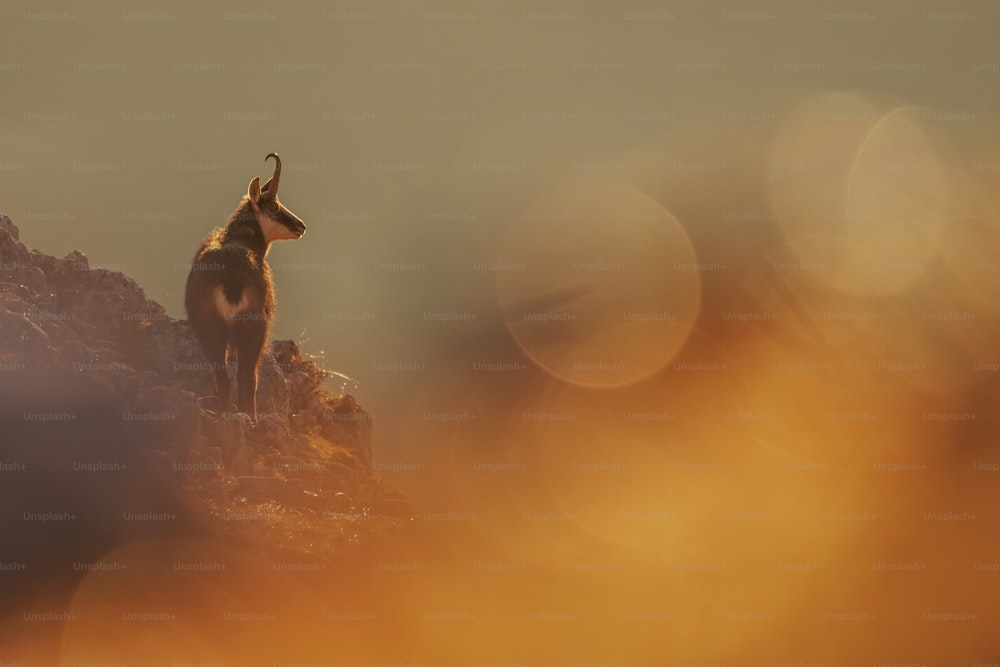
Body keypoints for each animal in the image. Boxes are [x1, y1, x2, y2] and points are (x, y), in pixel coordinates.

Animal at [182, 154, 302, 420]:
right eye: (273, 206)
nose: (301, 226)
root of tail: (232, 279)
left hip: (211, 329)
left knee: (222, 377)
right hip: (253, 330)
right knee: (248, 377)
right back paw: (252, 420)